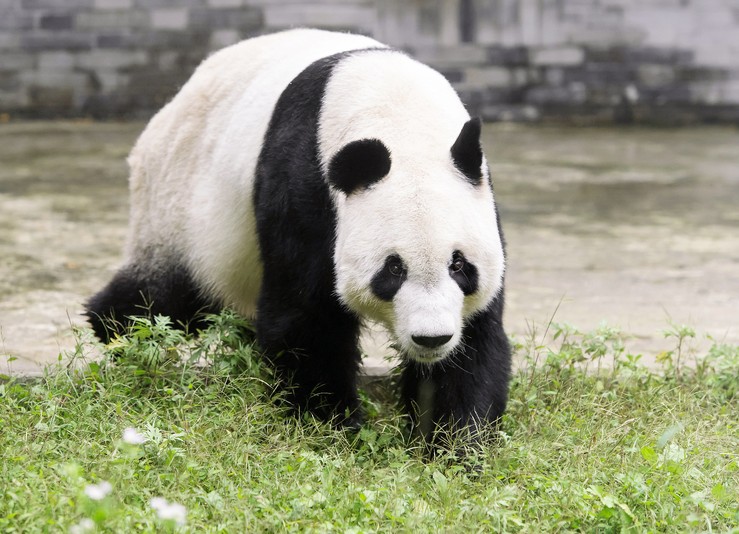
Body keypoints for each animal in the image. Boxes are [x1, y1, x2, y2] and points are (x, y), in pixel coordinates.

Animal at [86, 27, 512, 442]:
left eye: (460, 265)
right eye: (393, 269)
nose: (431, 338)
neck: (402, 121)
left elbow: (475, 340)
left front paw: (450, 440)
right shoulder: (305, 184)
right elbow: (307, 318)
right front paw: (332, 427)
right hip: (178, 206)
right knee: (163, 296)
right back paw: (118, 334)